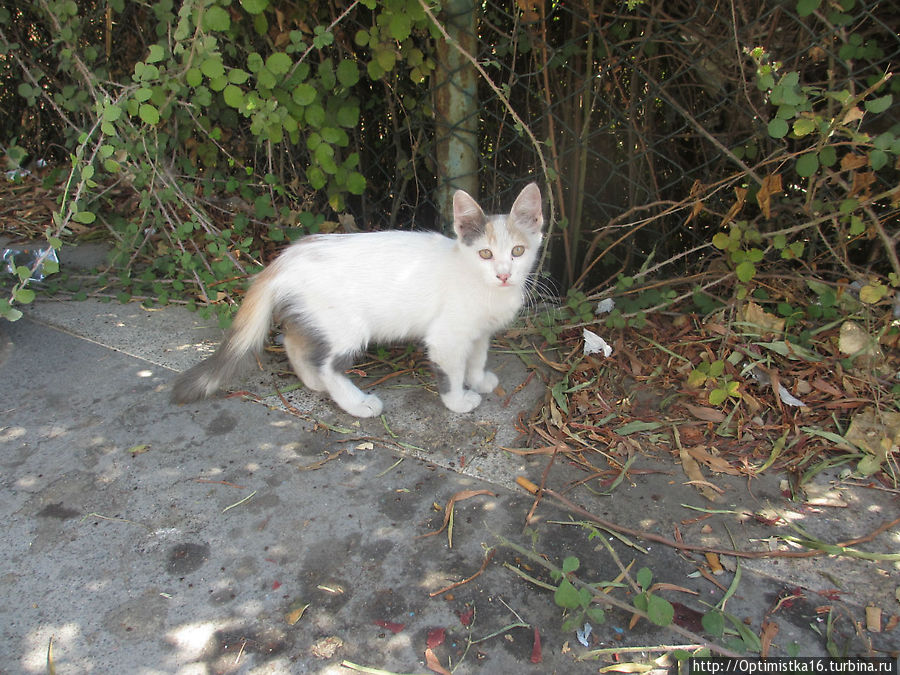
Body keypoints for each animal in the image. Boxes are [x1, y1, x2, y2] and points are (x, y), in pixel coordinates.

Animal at [172, 182, 544, 420]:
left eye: (517, 251)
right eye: (485, 254)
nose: (504, 274)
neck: (482, 286)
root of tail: (285, 257)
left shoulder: (479, 331)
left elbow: (477, 357)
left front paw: (479, 380)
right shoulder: (447, 337)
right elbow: (451, 371)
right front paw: (458, 400)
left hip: (316, 314)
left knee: (294, 341)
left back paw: (313, 382)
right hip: (347, 326)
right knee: (327, 364)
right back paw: (355, 403)